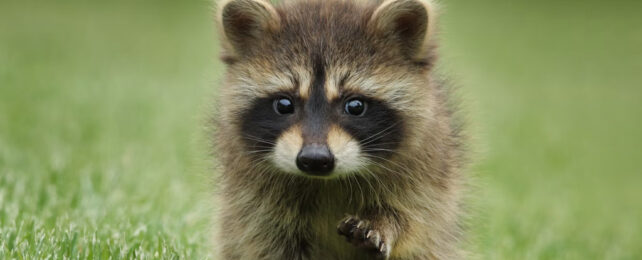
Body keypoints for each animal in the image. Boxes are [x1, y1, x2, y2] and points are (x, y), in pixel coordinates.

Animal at [212, 0, 462, 258]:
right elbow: (266, 240)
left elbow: (414, 219)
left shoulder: (427, 176)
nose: (314, 159)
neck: (326, 181)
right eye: (284, 104)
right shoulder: (252, 199)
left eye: (355, 106)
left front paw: (383, 222)